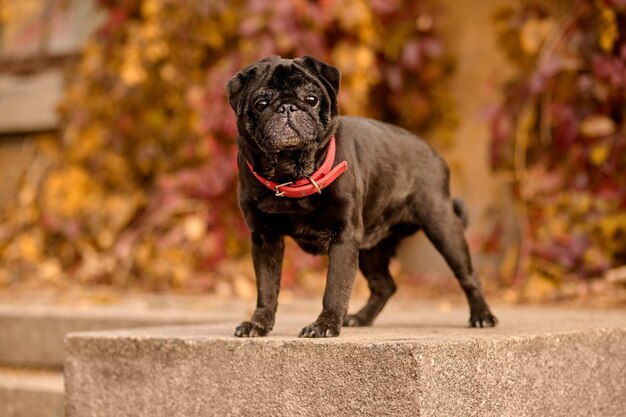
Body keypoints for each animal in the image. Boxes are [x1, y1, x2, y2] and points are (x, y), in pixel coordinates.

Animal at [227, 55, 494, 336]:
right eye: (261, 104)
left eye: (311, 99)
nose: (288, 107)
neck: (292, 174)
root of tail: (434, 155)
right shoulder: (265, 238)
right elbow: (267, 287)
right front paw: (258, 323)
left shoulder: (344, 236)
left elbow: (335, 288)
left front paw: (325, 325)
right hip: (370, 247)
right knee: (384, 285)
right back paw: (360, 318)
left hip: (442, 226)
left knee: (467, 275)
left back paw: (482, 315)